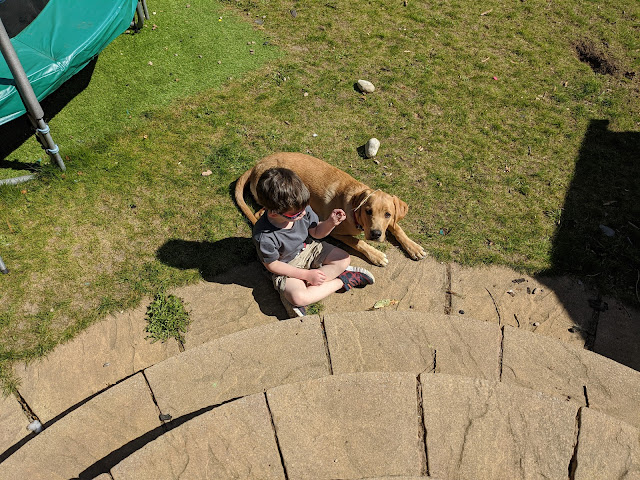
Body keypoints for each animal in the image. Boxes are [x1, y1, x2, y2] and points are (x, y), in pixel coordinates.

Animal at [234, 152, 424, 266]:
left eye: (387, 214)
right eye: (368, 211)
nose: (376, 234)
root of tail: (257, 165)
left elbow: (397, 227)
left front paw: (413, 247)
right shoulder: (335, 232)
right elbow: (358, 242)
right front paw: (376, 254)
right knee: (260, 213)